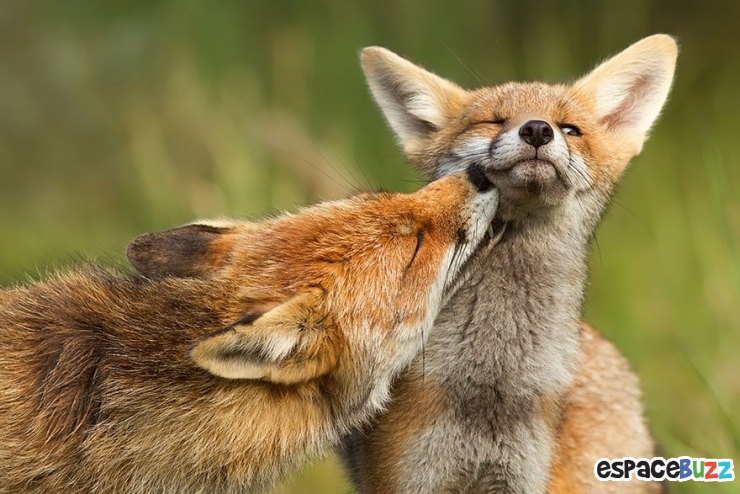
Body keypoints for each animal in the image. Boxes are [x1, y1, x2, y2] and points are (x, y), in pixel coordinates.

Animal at [339, 35, 677, 493]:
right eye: (494, 121)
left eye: (570, 129)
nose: (537, 129)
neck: (491, 386)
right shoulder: (408, 476)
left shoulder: (522, 477)